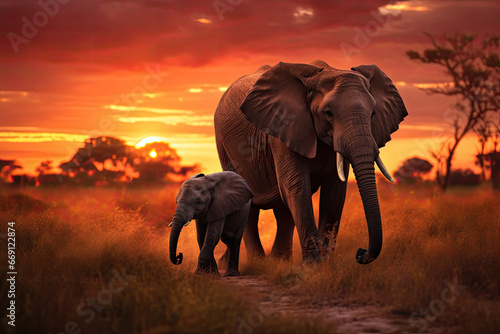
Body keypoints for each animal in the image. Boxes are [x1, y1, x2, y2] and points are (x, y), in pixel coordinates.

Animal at [214, 60, 406, 264]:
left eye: (373, 114)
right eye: (328, 113)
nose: (360, 253)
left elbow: (335, 192)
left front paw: (325, 264)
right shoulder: (283, 128)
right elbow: (297, 187)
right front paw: (312, 265)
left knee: (283, 211)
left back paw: (278, 261)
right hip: (225, 148)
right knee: (249, 207)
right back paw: (257, 262)